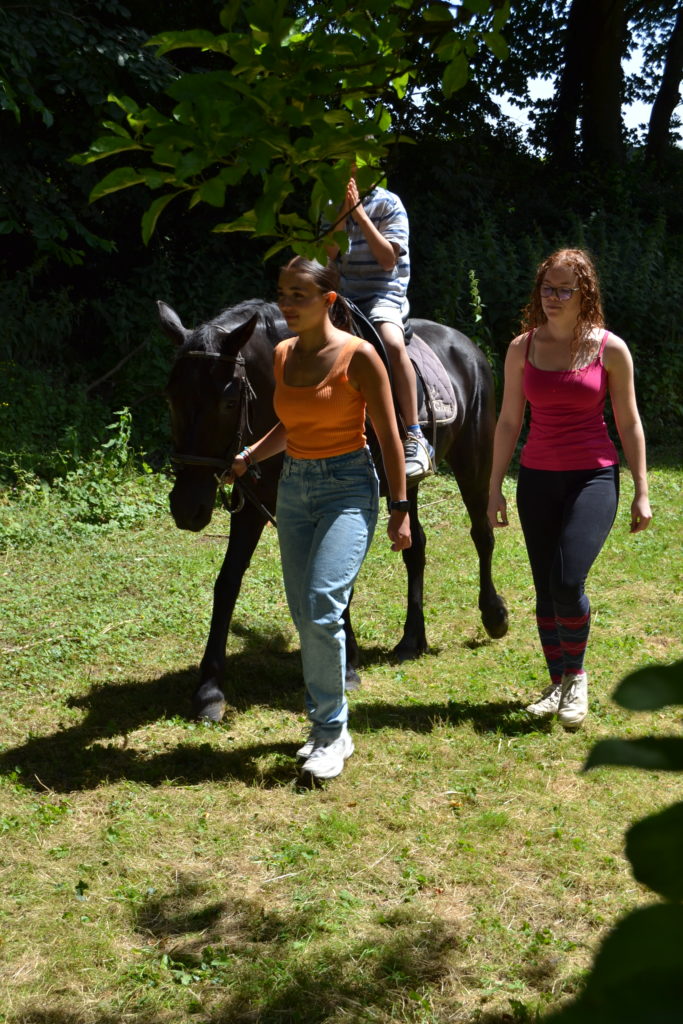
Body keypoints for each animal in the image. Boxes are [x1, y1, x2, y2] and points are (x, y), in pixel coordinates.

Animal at [158, 298, 508, 721]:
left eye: (227, 402)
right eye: (171, 397)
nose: (186, 506)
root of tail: (466, 345)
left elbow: (337, 576)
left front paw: (346, 664)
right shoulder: (254, 508)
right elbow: (228, 582)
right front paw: (209, 688)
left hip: (475, 456)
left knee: (482, 534)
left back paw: (494, 615)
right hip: (406, 488)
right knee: (416, 548)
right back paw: (412, 639)